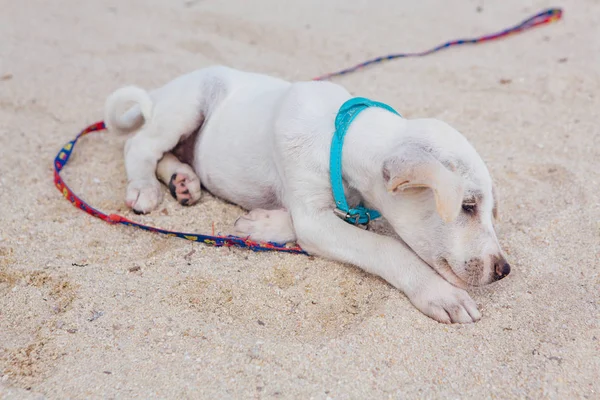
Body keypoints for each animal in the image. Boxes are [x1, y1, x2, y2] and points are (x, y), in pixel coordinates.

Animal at [104, 65, 510, 322]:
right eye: (468, 206)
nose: (504, 270)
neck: (339, 135)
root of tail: (160, 91)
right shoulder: (315, 220)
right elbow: (387, 248)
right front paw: (440, 293)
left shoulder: (333, 212)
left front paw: (262, 225)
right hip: (187, 107)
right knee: (140, 146)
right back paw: (144, 187)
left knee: (166, 153)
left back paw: (183, 181)